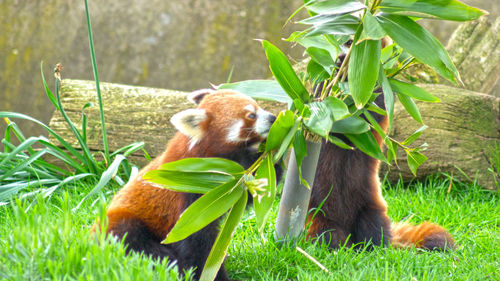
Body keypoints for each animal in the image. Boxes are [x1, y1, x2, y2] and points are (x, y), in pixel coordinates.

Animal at [99, 89, 276, 280]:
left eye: (259, 106)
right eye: (251, 115)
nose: (273, 117)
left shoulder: (232, 184)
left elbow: (250, 192)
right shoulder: (190, 195)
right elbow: (196, 241)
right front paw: (210, 273)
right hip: (120, 224)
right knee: (134, 240)